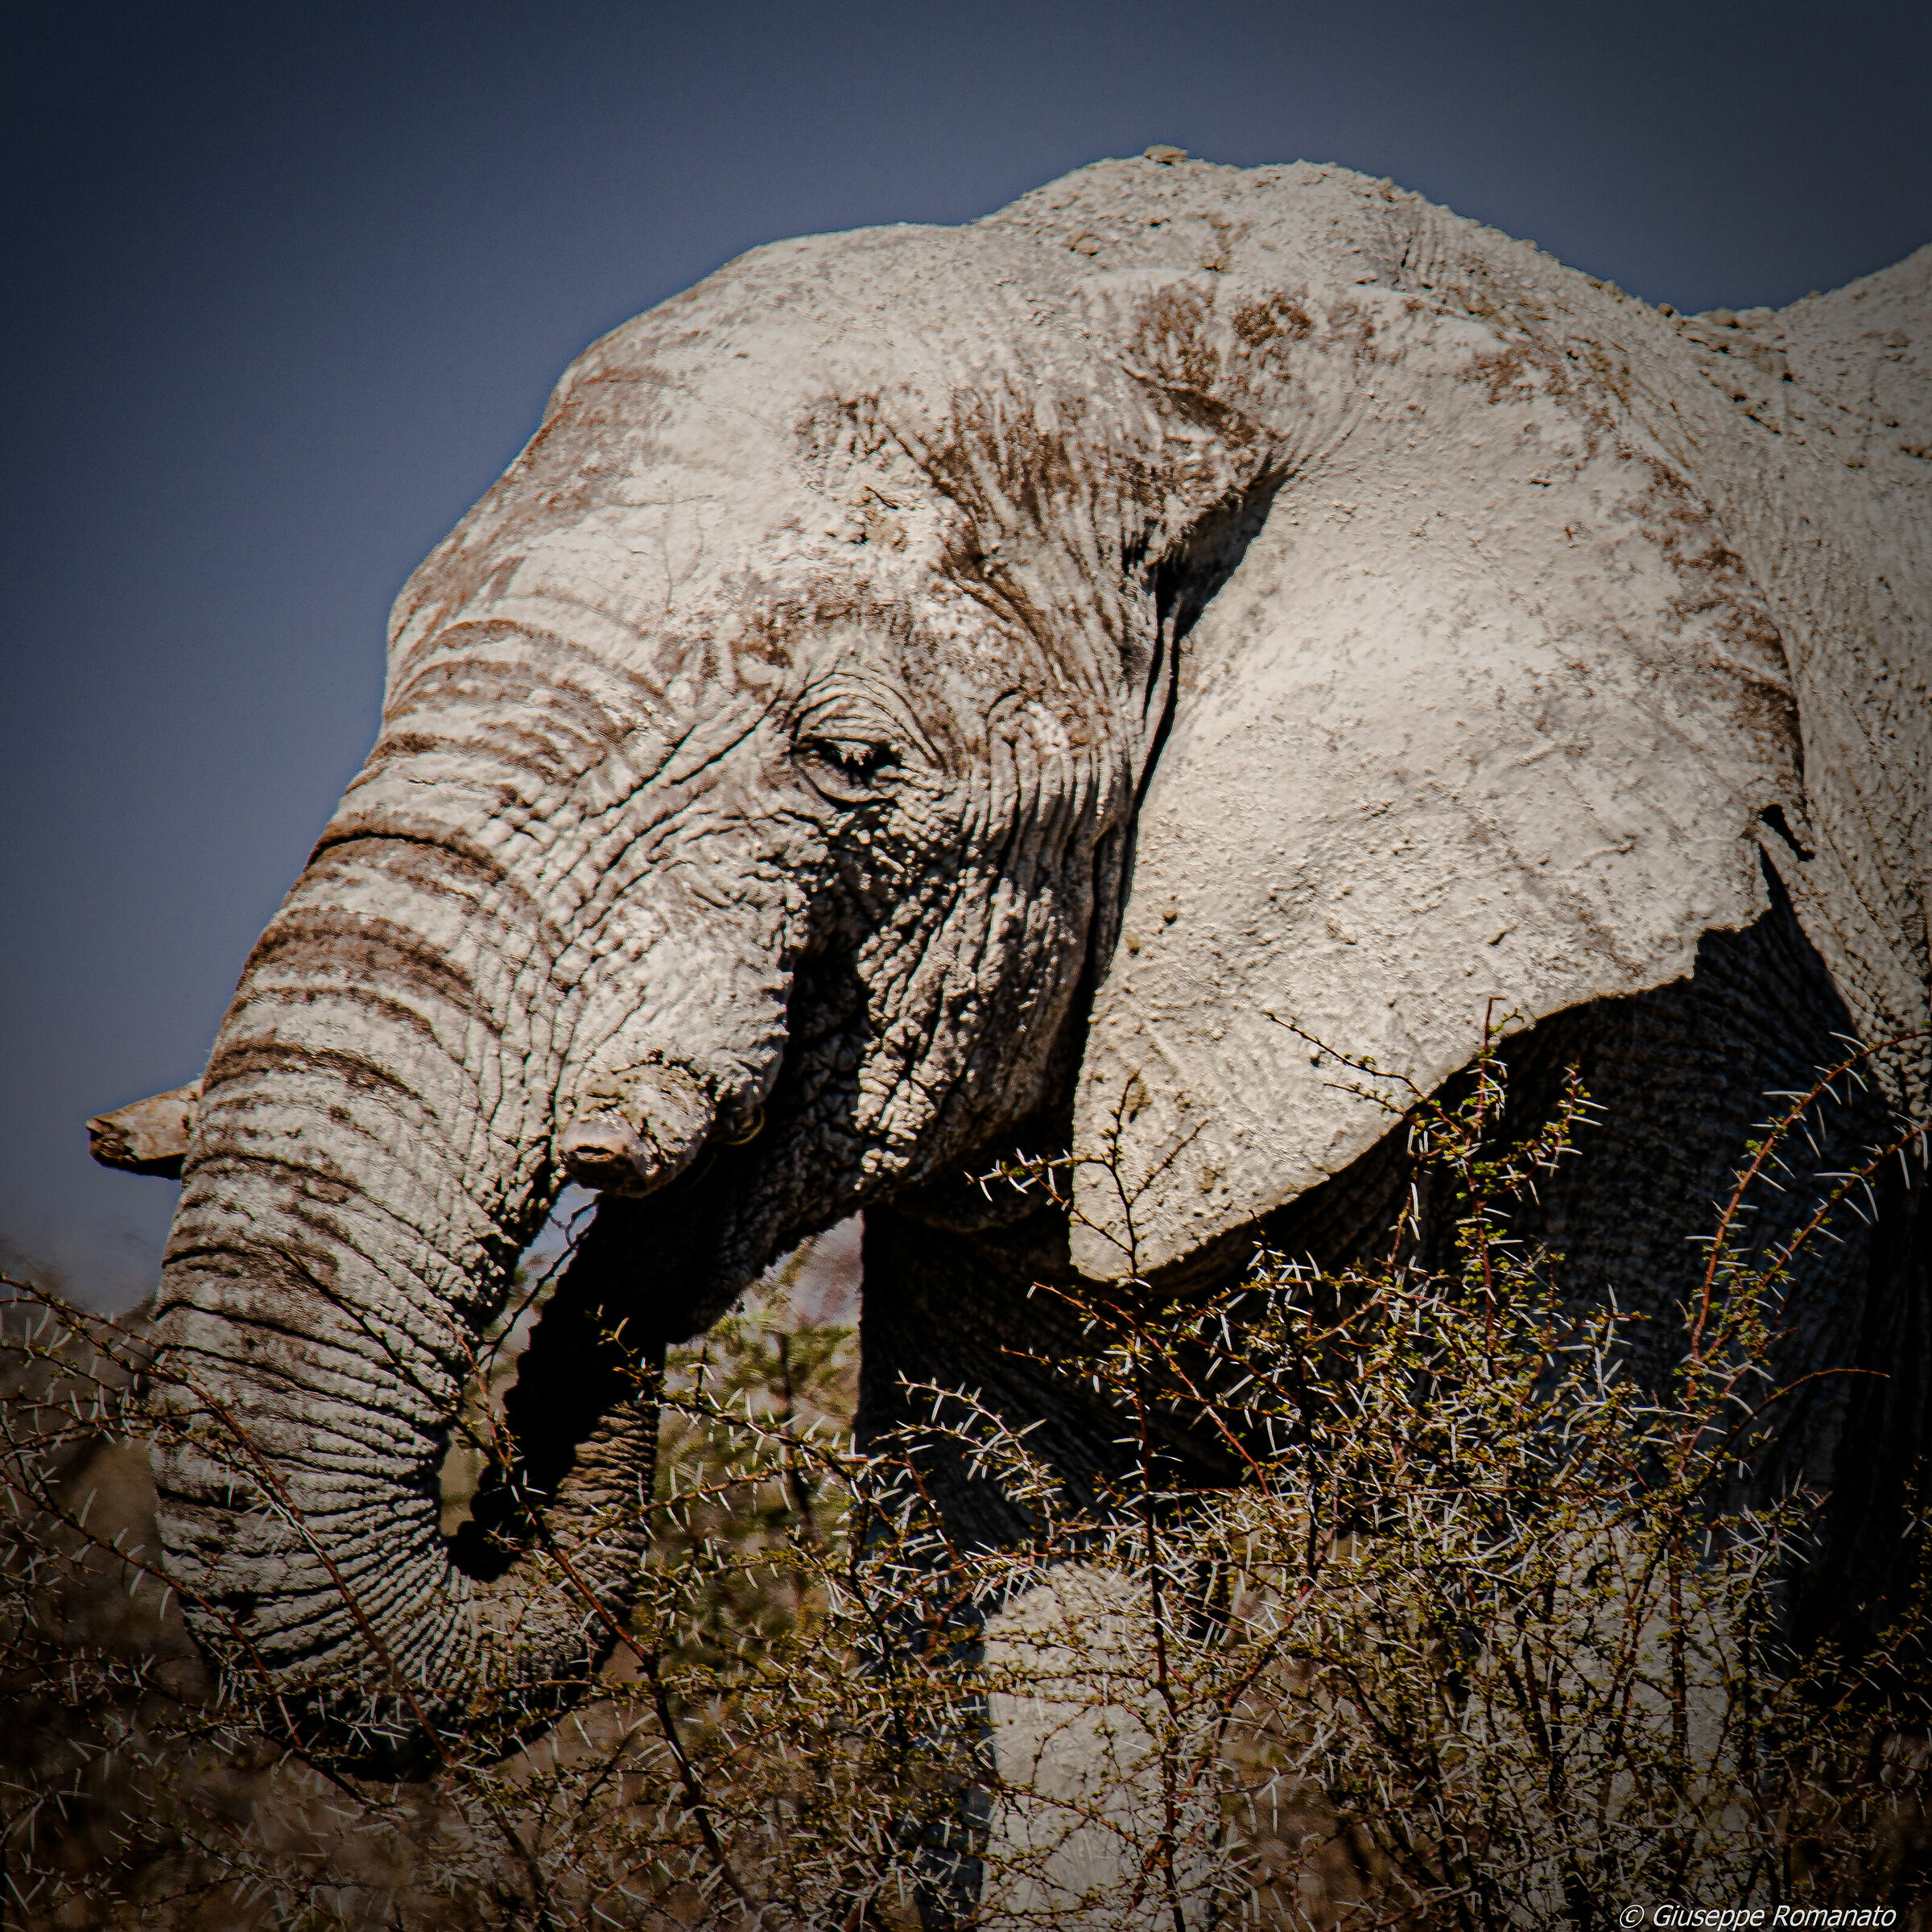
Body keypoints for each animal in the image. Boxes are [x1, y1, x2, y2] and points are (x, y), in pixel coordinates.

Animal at [98, 152, 1929, 1785]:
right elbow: (1045, 1631)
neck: (1193, 329)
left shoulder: (1720, 1034)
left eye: (849, 763)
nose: (622, 1211)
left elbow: (1606, 1608)